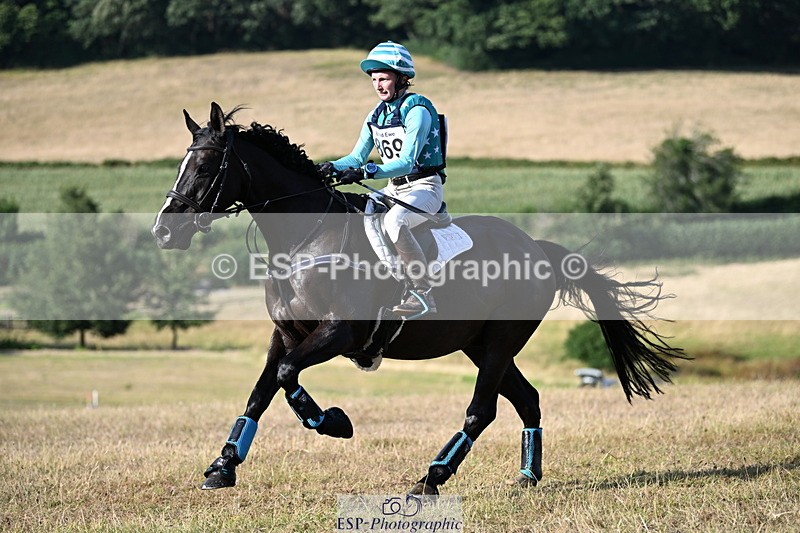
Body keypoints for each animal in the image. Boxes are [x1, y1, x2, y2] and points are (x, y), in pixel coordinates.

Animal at [151, 102, 686, 494]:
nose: (162, 231)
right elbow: (261, 393)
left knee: (483, 410)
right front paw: (223, 466)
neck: (304, 239)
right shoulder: (285, 333)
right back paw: (527, 477)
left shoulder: (338, 332)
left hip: (499, 343)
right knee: (527, 400)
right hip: (480, 344)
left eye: (205, 164)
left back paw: (432, 477)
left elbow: (286, 378)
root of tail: (537, 248)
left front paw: (335, 423)